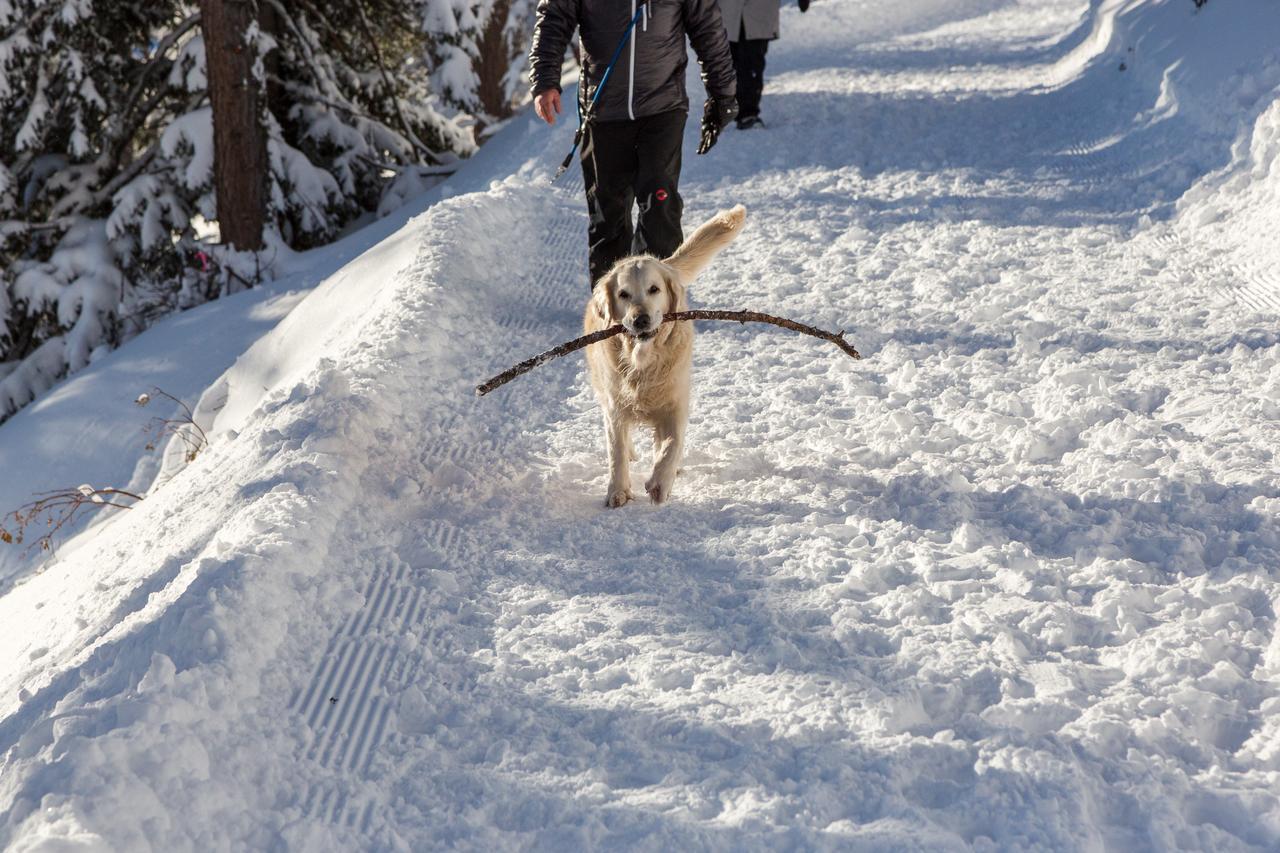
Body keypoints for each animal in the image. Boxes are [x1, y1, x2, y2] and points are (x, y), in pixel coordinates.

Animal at [583, 203, 747, 504]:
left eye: (654, 289)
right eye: (623, 294)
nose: (641, 320)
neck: (643, 360)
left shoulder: (675, 402)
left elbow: (671, 444)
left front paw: (660, 482)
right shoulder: (615, 404)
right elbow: (616, 451)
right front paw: (617, 491)